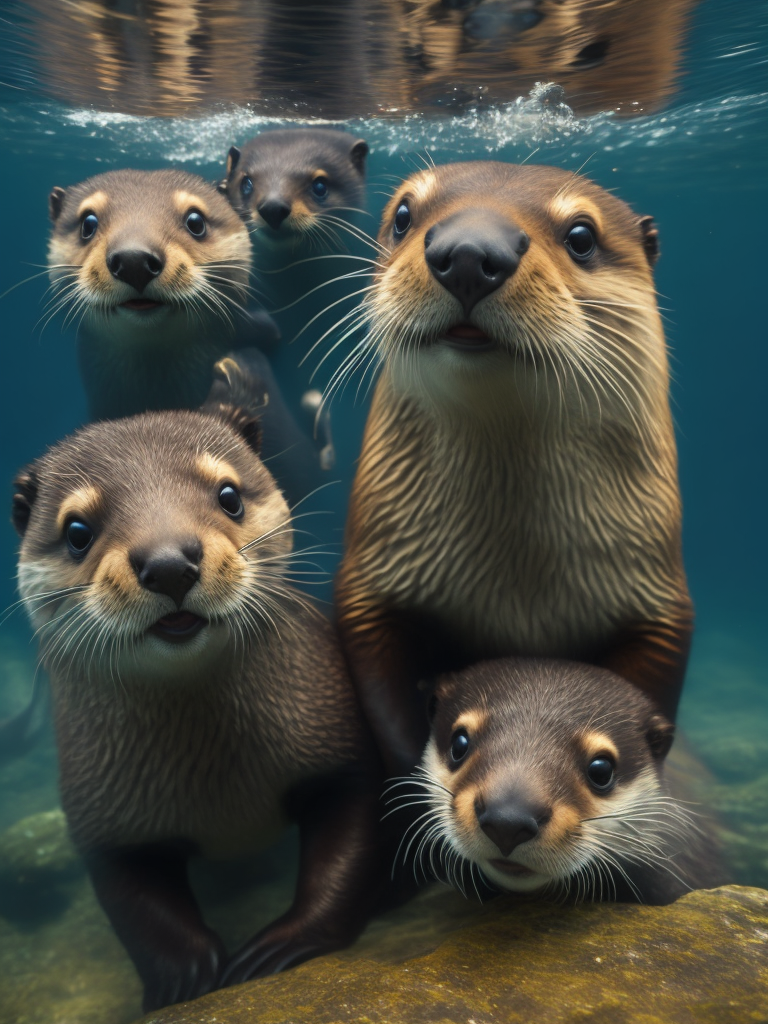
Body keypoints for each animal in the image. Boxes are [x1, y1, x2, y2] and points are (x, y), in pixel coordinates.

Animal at [12, 360, 387, 1012]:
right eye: (77, 530)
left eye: (229, 495)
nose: (168, 563)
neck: (220, 789)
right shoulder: (97, 815)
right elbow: (134, 905)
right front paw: (185, 975)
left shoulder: (339, 740)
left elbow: (348, 847)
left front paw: (278, 948)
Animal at [336, 161, 692, 775]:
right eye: (403, 215)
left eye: (581, 236)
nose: (468, 252)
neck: (513, 585)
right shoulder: (367, 586)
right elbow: (390, 710)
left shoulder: (662, 606)